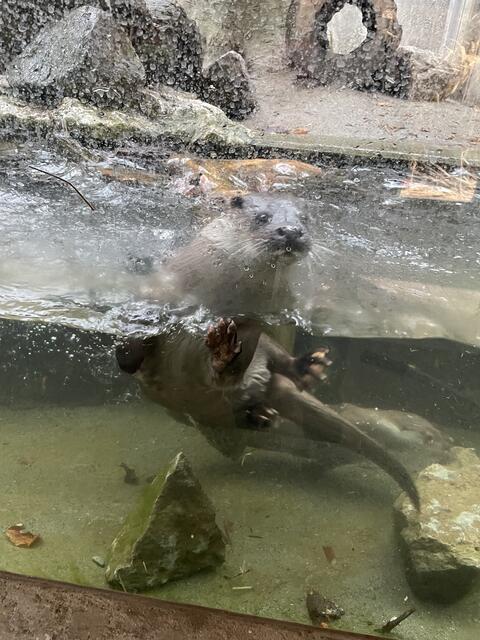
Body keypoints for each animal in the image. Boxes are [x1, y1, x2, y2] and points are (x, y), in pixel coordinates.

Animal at [117, 194, 421, 508]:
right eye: (262, 217)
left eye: (304, 219)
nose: (292, 231)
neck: (223, 293)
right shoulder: (160, 288)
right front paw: (128, 355)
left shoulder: (276, 314)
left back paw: (290, 371)